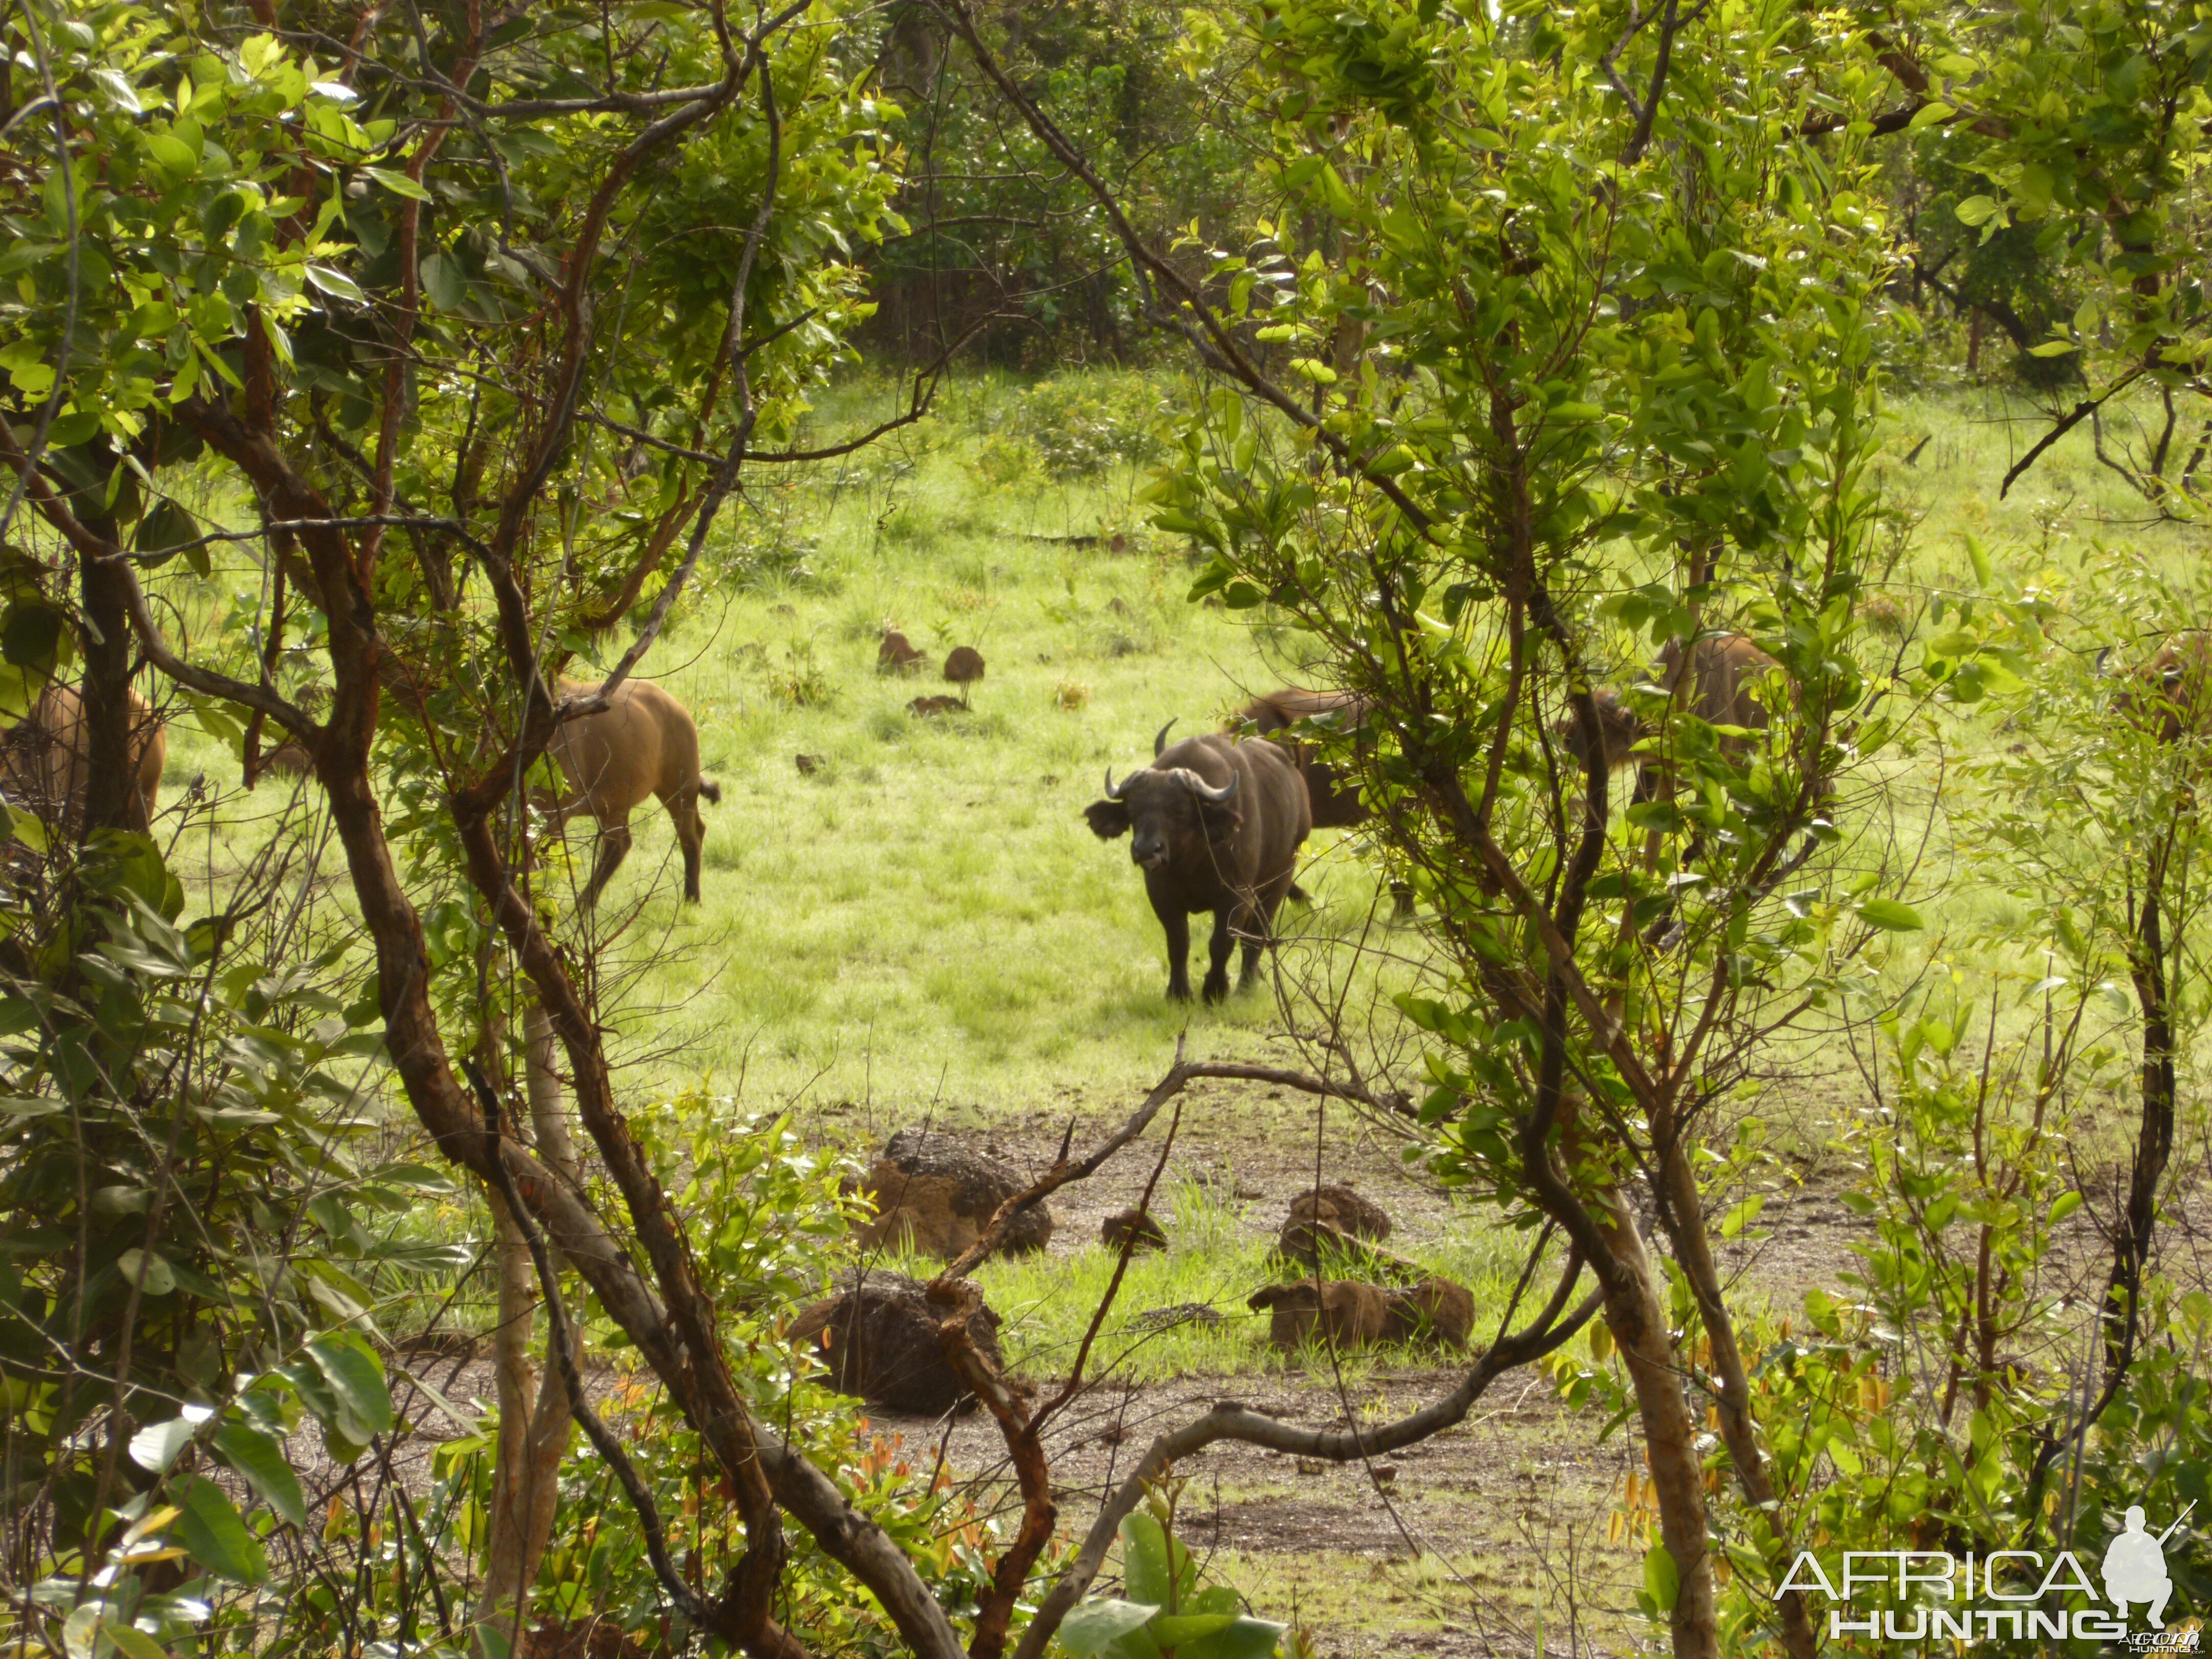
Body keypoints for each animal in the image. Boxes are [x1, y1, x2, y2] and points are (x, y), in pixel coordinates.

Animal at [544, 676, 716, 911]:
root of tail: (679, 709)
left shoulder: (555, 812)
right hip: (615, 805)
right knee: (619, 845)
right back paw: (586, 904)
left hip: (679, 790)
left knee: (691, 835)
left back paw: (692, 899)